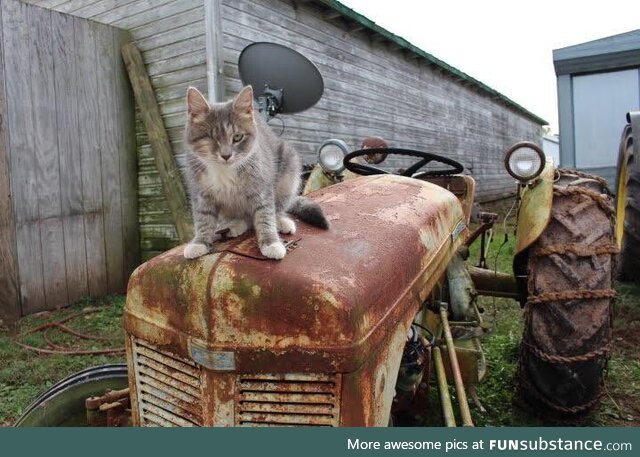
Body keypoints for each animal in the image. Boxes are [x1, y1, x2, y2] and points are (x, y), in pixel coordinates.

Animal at [181, 83, 328, 258]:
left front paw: (271, 242)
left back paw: (281, 221)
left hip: (288, 172)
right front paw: (200, 242)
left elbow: (265, 214)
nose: (226, 155)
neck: (224, 170)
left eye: (237, 137)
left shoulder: (261, 187)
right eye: (211, 138)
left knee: (276, 208)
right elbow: (203, 217)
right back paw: (235, 225)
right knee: (245, 218)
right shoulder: (201, 191)